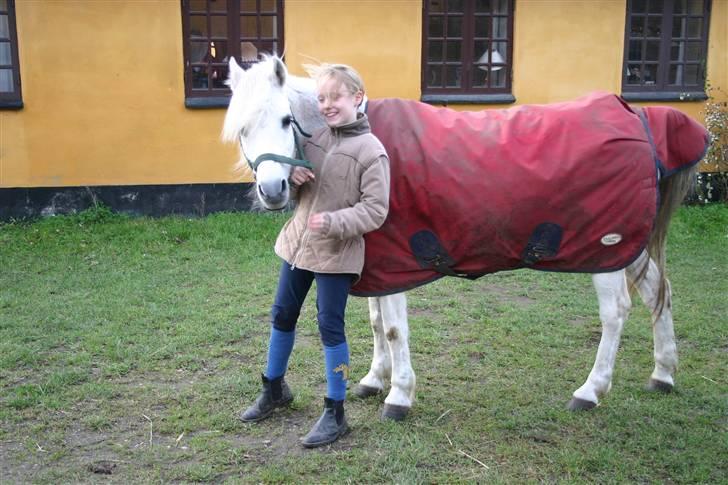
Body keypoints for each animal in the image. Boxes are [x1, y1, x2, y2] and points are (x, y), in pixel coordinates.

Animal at [223, 54, 700, 420]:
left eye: (286, 119)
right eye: (242, 130)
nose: (272, 190)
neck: (359, 139)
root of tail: (636, 117)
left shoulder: (396, 262)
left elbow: (393, 328)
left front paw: (399, 395)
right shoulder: (375, 261)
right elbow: (376, 322)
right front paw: (374, 379)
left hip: (605, 250)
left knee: (616, 311)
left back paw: (591, 390)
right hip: (627, 246)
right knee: (659, 290)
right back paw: (663, 373)